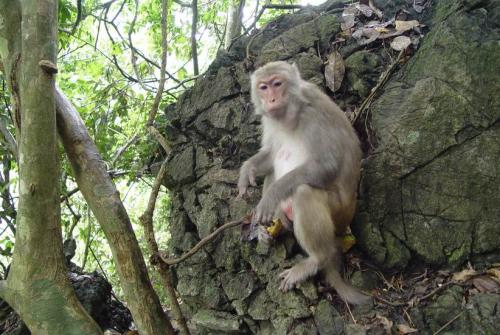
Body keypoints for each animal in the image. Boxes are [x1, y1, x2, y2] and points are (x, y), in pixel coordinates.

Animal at [236, 61, 370, 306]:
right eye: (263, 87)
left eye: (277, 84)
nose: (271, 100)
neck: (290, 114)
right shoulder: (269, 122)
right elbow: (271, 155)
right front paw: (247, 170)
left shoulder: (315, 116)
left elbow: (326, 165)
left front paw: (271, 196)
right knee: (274, 168)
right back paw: (272, 228)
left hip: (340, 216)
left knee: (304, 192)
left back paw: (316, 260)